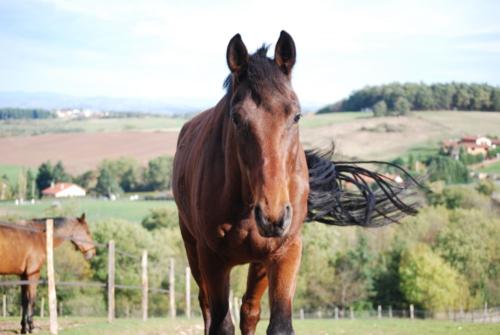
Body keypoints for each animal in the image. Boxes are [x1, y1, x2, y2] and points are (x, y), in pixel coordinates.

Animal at [172, 31, 418, 335]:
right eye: (236, 118)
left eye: (296, 115)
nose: (273, 215)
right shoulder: (212, 259)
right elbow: (220, 324)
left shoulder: (285, 252)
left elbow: (279, 323)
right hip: (193, 249)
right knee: (207, 305)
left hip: (259, 262)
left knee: (249, 311)